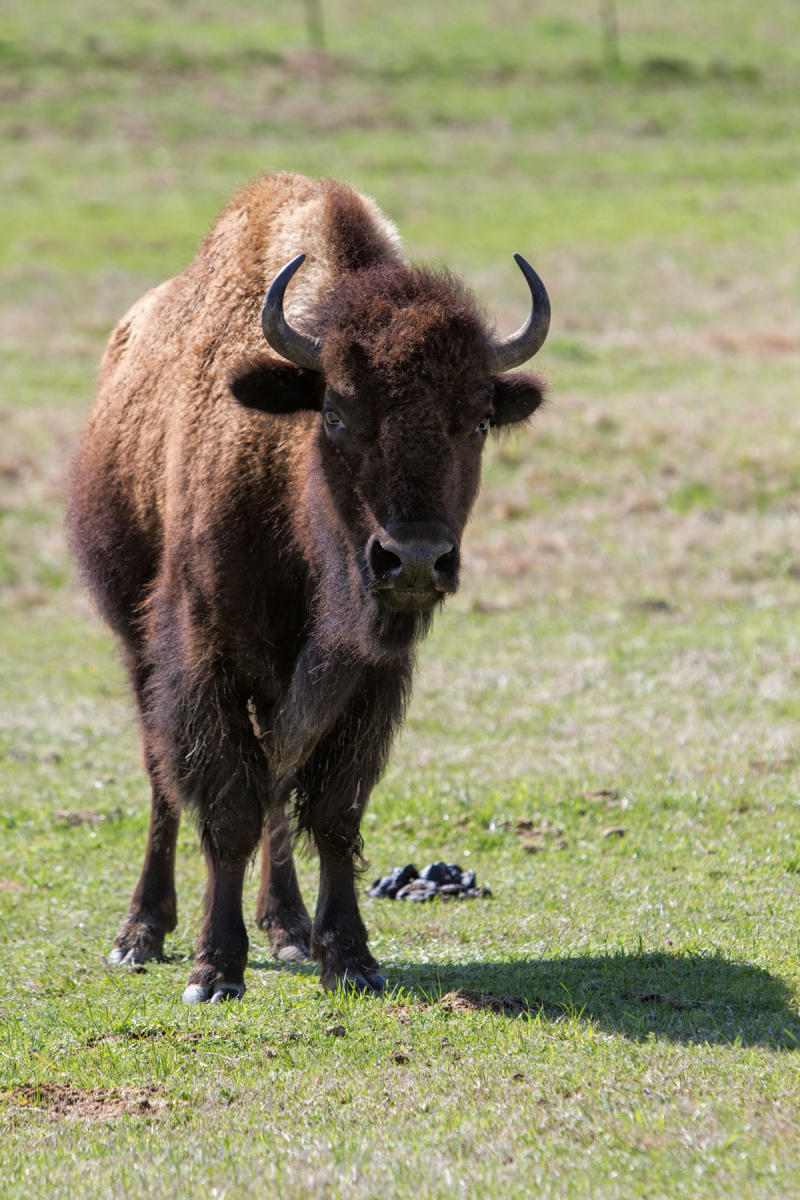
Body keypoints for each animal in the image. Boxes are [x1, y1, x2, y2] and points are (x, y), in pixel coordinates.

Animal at [68, 171, 551, 1003]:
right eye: (336, 411)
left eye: (479, 419)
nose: (413, 561)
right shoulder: (206, 652)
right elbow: (227, 806)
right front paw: (214, 970)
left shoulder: (367, 676)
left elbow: (329, 808)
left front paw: (348, 956)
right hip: (138, 643)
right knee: (166, 779)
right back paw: (141, 933)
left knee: (276, 782)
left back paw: (287, 928)